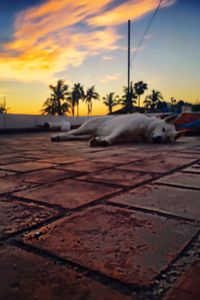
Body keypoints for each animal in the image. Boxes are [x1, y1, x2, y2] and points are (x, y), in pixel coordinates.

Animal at [50, 112, 184, 146]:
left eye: (166, 139)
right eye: (163, 129)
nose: (158, 139)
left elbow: (111, 138)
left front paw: (100, 140)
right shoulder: (121, 129)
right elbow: (113, 136)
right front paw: (104, 141)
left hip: (86, 134)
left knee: (72, 136)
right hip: (87, 128)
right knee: (71, 132)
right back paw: (57, 136)